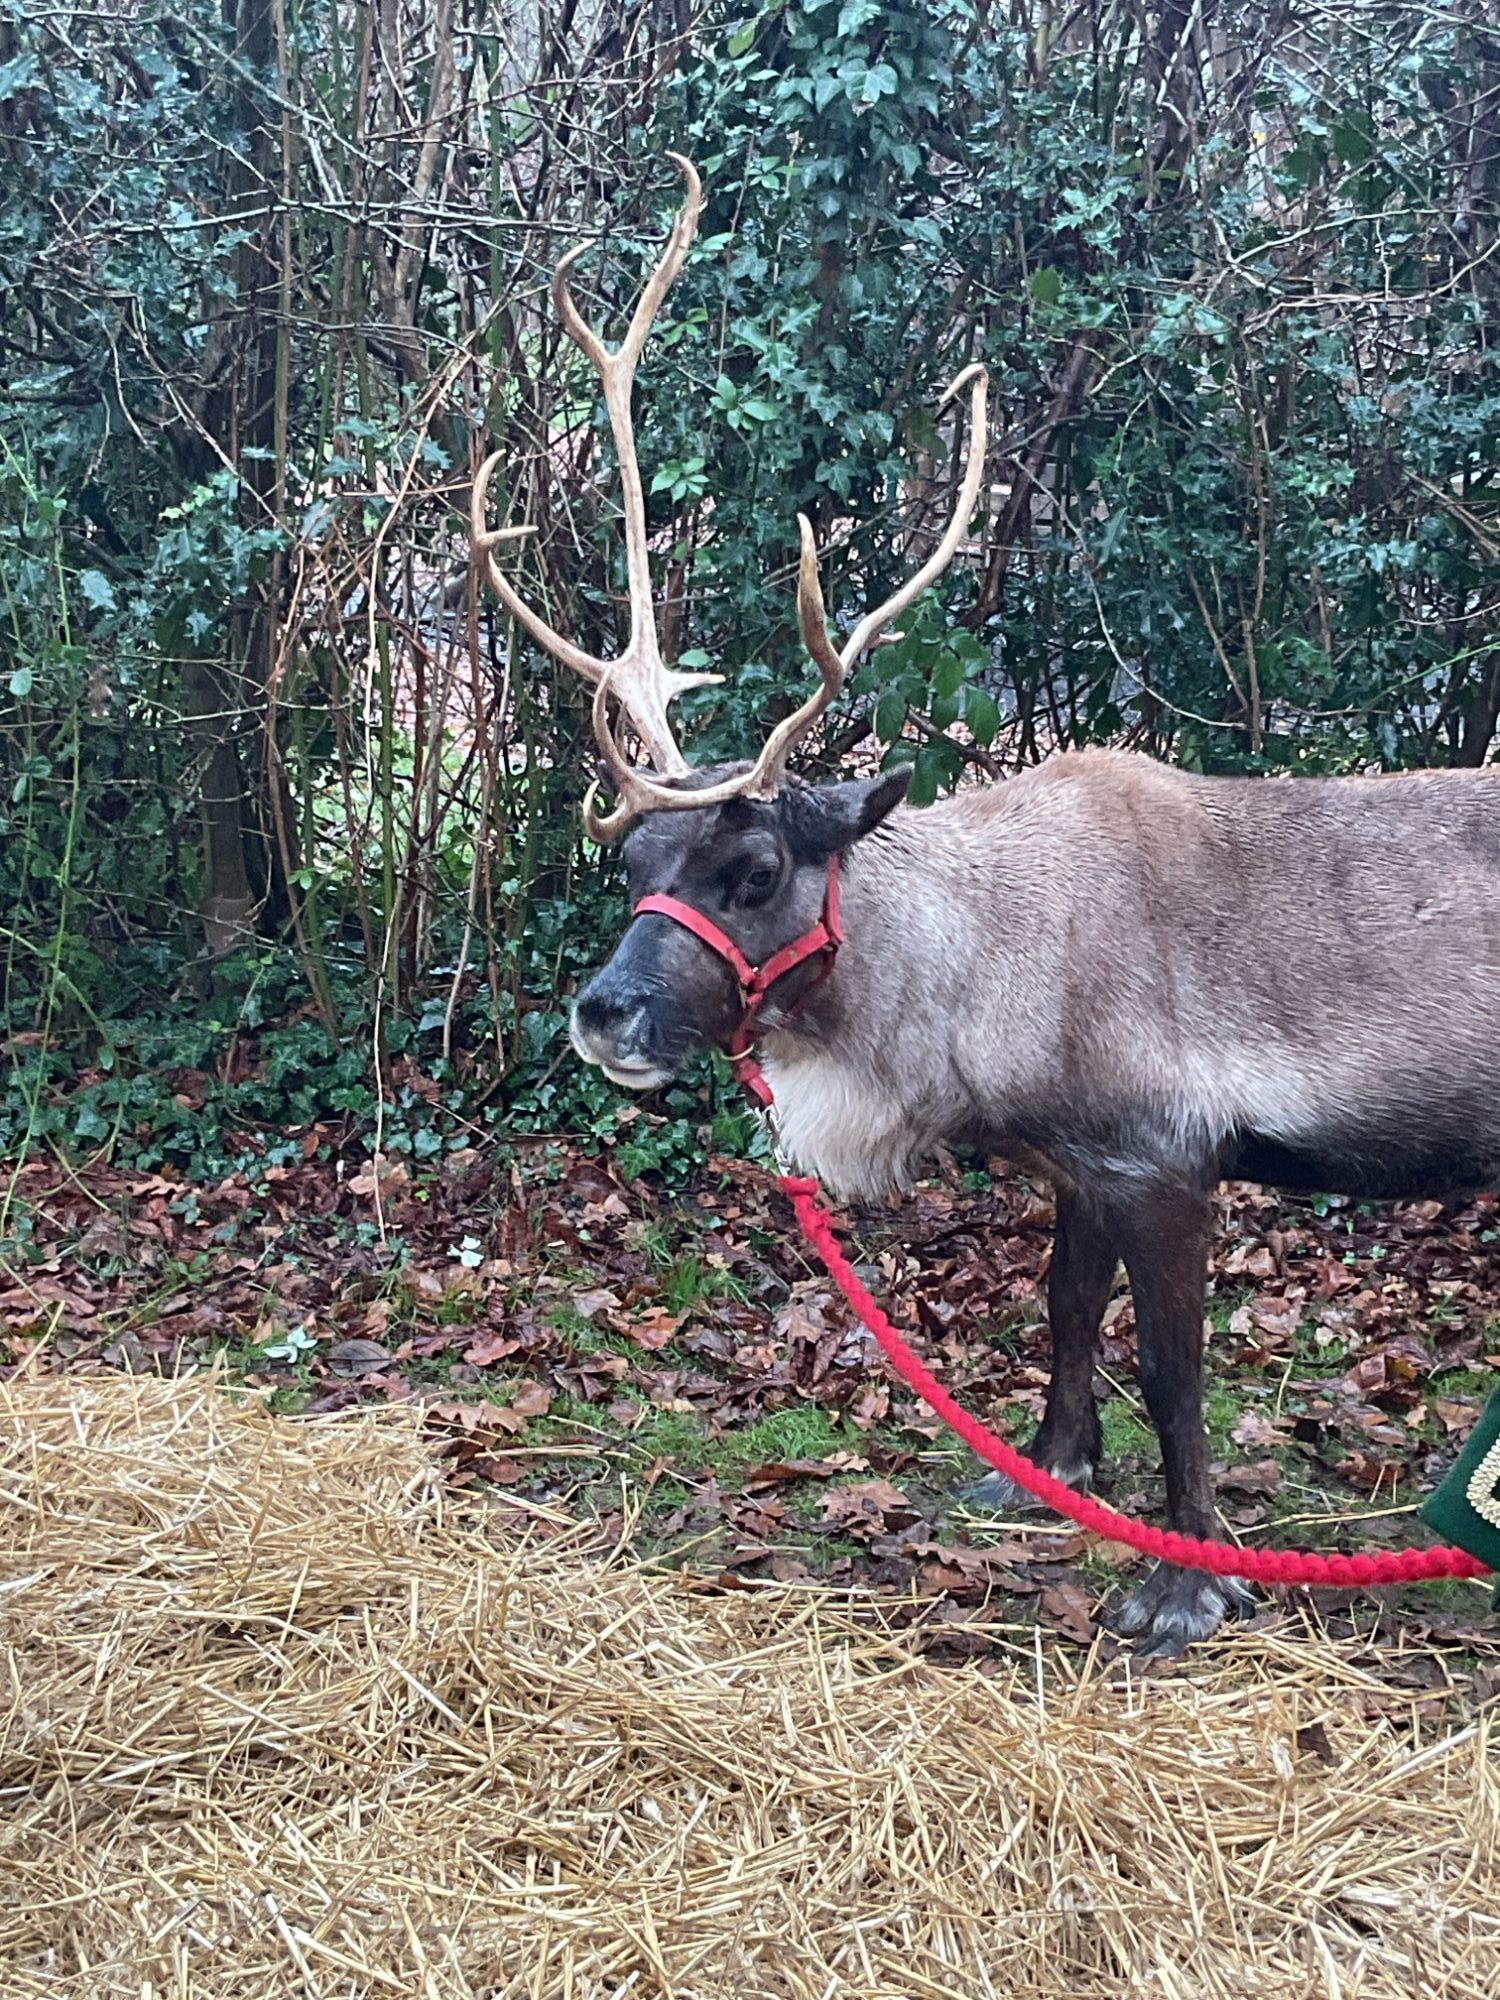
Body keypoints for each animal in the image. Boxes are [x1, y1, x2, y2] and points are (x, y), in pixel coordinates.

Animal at [472, 157, 1500, 1655]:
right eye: (632, 863)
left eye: (755, 869)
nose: (601, 1013)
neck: (969, 983)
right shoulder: (1078, 1160)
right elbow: (1064, 1312)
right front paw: (1046, 1472)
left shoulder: (1170, 1155)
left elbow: (1175, 1374)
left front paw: (1186, 1580)